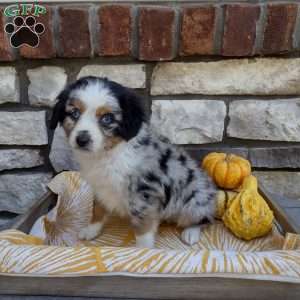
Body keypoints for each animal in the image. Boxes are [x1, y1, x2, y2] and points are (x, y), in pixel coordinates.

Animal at [50, 76, 217, 247]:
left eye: (107, 118)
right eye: (74, 113)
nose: (82, 140)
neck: (107, 154)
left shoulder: (144, 193)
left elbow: (143, 228)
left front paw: (143, 250)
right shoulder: (99, 187)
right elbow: (97, 209)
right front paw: (91, 229)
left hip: (194, 202)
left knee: (205, 219)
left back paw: (191, 233)